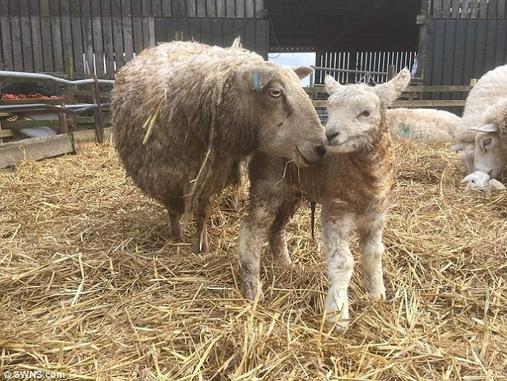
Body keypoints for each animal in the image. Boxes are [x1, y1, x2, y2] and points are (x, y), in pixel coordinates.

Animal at [111, 40, 326, 252]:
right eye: (275, 92)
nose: (321, 147)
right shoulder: (164, 177)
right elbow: (173, 210)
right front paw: (176, 236)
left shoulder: (210, 174)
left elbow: (202, 212)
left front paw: (201, 247)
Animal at [239, 68, 412, 330]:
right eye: (329, 109)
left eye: (365, 113)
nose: (329, 135)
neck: (366, 179)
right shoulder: (335, 211)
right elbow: (342, 263)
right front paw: (337, 316)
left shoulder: (376, 216)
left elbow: (374, 254)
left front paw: (377, 295)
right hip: (267, 185)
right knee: (251, 232)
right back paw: (252, 287)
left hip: (292, 193)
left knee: (276, 229)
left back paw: (284, 264)